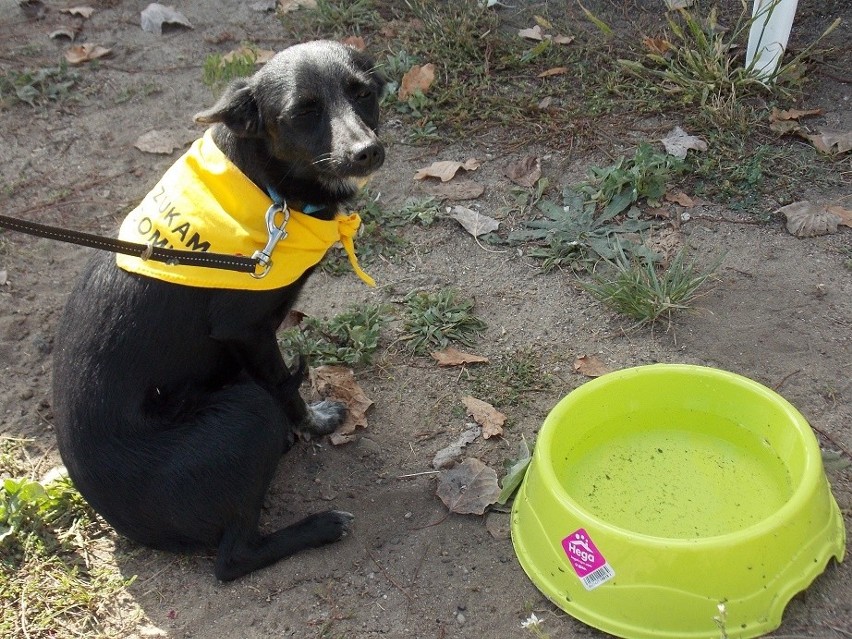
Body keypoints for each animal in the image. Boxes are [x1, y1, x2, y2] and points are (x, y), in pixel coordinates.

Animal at [53, 38, 386, 580]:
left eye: (363, 93)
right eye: (303, 112)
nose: (367, 150)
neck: (267, 186)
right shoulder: (247, 331)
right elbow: (284, 388)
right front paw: (312, 423)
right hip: (247, 414)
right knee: (233, 558)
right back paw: (320, 525)